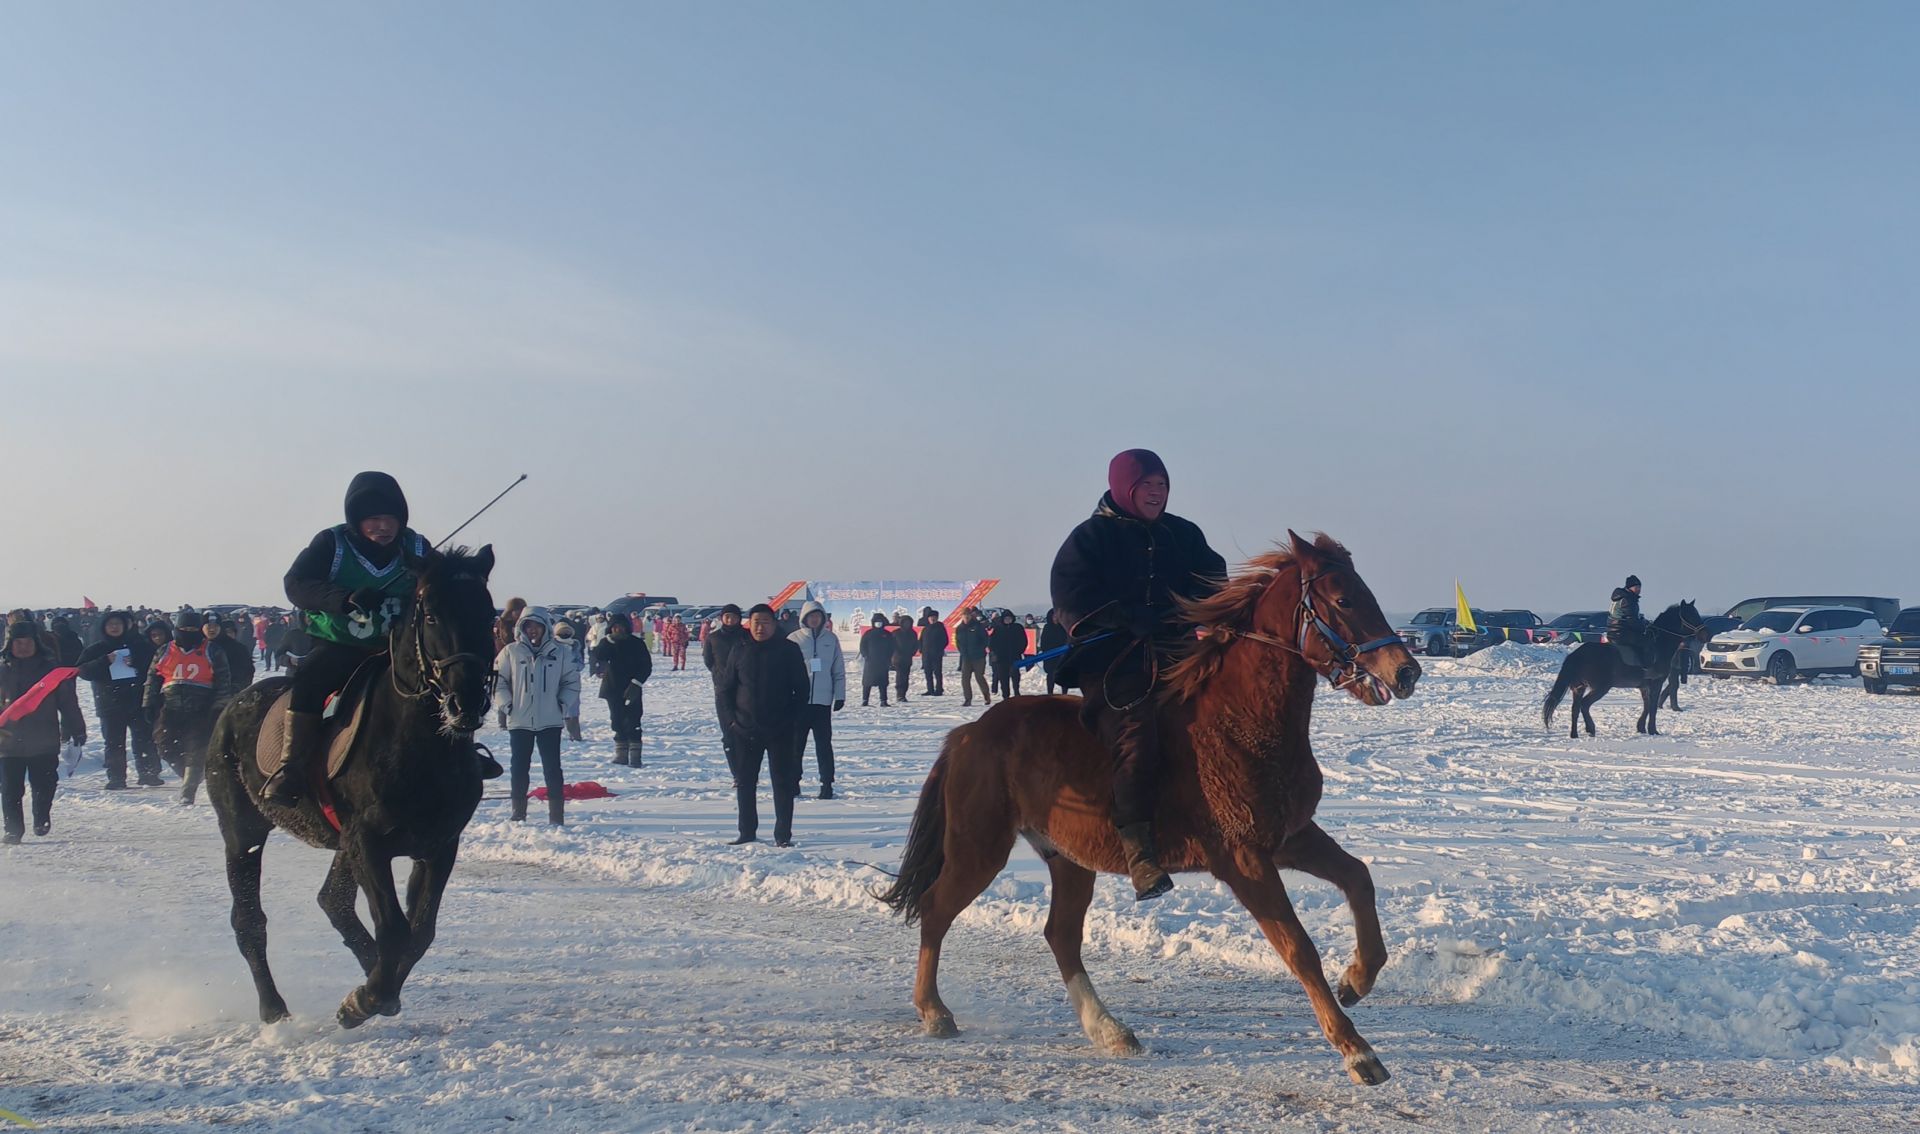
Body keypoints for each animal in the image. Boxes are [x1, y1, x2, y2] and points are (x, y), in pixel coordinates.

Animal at [206, 548, 499, 1028]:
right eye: (432, 615)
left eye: (489, 613)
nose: (467, 701)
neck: (420, 745)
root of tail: (233, 705)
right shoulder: (367, 842)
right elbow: (396, 929)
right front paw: (363, 1000)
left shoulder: (438, 844)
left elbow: (420, 931)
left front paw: (378, 990)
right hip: (242, 831)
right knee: (249, 920)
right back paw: (274, 1007)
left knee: (333, 902)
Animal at [879, 537, 1420, 1089]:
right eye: (1343, 599)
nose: (1406, 671)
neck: (1240, 723)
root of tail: (968, 734)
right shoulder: (1244, 860)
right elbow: (1298, 947)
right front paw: (1356, 1050)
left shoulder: (1291, 838)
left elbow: (1358, 878)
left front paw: (1356, 979)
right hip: (979, 848)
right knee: (936, 909)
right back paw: (934, 1011)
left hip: (1069, 859)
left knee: (1061, 935)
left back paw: (1108, 1030)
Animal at [1543, 598, 1712, 740]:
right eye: (1690, 615)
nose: (1706, 635)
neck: (1659, 645)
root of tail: (1577, 654)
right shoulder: (1656, 682)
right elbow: (1652, 706)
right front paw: (1653, 730)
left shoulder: (1644, 686)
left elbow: (1646, 705)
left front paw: (1641, 728)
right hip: (1599, 687)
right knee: (1584, 705)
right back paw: (1591, 729)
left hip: (1578, 688)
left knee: (1575, 708)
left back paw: (1574, 734)